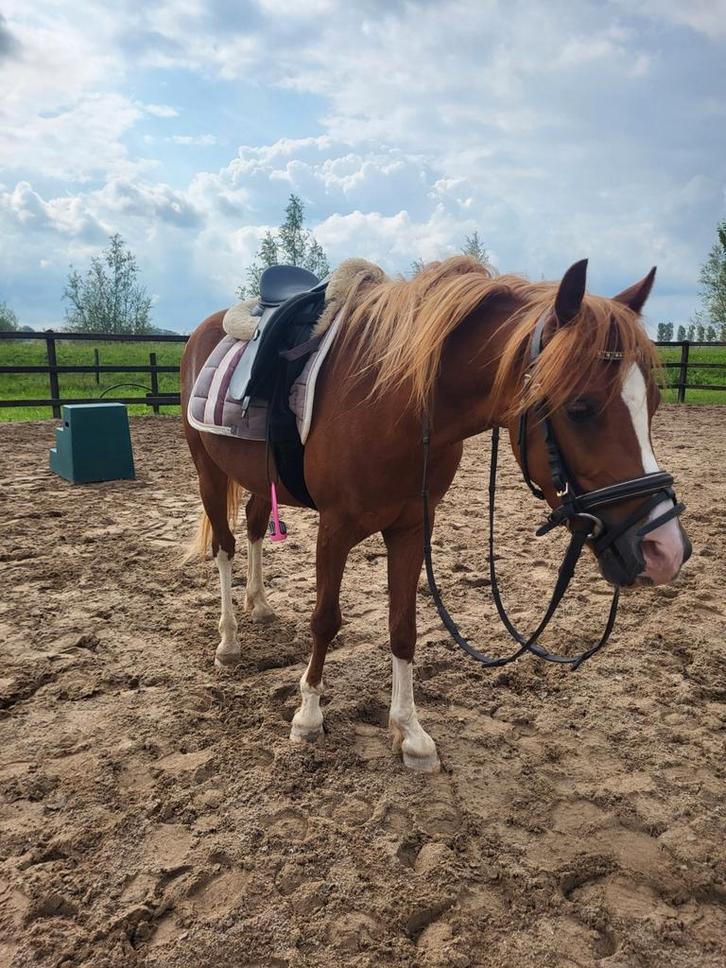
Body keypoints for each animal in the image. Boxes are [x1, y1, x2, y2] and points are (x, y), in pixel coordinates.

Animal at [180, 256, 690, 773]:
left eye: (652, 403)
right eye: (580, 408)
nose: (663, 549)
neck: (393, 401)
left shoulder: (411, 527)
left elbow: (403, 627)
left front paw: (410, 733)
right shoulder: (335, 527)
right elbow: (325, 618)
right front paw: (308, 717)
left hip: (257, 479)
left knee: (254, 526)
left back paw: (260, 605)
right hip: (208, 470)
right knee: (224, 547)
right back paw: (229, 642)